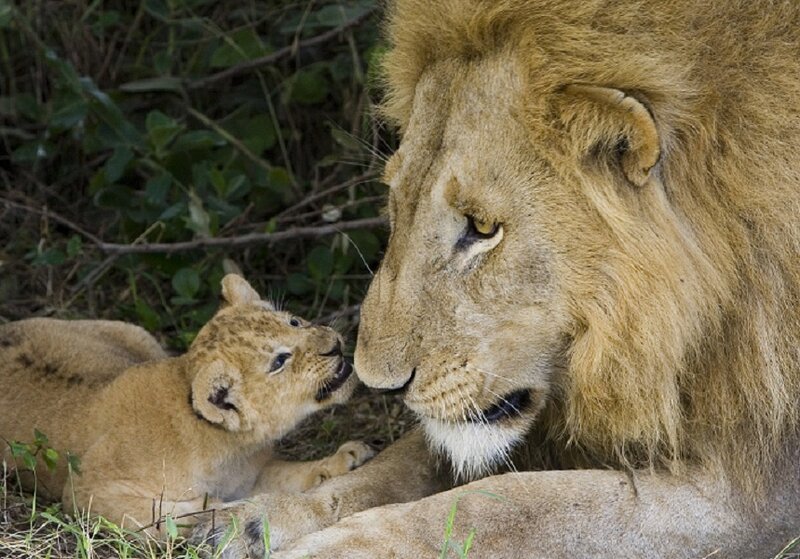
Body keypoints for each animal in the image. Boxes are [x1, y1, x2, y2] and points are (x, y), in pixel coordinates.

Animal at [0, 274, 373, 536]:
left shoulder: (251, 474)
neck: (230, 448)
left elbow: (288, 474)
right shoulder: (86, 492)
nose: (335, 345)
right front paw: (218, 513)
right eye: (279, 361)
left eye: (293, 322)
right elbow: (162, 514)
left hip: (136, 334)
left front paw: (345, 461)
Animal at [190, 1, 800, 557]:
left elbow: (508, 507)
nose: (378, 385)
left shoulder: (749, 493)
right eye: (396, 202)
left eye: (482, 228)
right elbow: (397, 466)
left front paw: (338, 548)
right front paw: (244, 522)